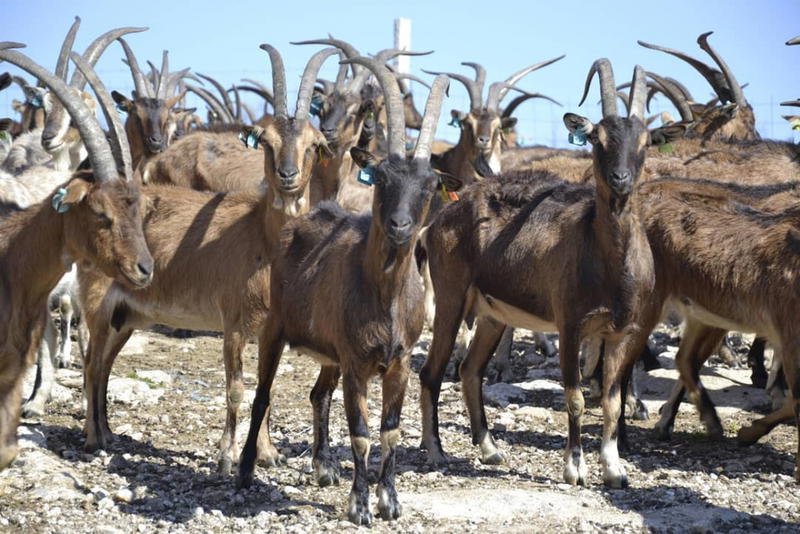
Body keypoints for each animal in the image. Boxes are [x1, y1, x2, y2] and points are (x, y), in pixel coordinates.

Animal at [78, 45, 335, 473]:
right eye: (266, 141)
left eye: (314, 143)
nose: (288, 176)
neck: (261, 238)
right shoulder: (233, 324)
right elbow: (236, 389)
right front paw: (227, 457)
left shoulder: (271, 330)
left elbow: (266, 388)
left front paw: (268, 454)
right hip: (97, 304)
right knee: (92, 364)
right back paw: (94, 438)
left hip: (127, 317)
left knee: (106, 362)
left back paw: (109, 432)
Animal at [237, 55, 448, 525]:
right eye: (381, 177)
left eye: (428, 186)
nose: (400, 226)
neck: (383, 295)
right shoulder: (355, 363)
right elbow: (362, 433)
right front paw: (360, 505)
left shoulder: (398, 362)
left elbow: (390, 432)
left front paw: (390, 501)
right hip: (276, 330)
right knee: (262, 396)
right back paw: (243, 471)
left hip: (329, 352)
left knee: (318, 394)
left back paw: (323, 467)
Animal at [420, 60, 655, 489]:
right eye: (596, 138)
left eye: (645, 141)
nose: (620, 179)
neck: (609, 264)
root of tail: (445, 216)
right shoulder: (571, 323)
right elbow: (575, 398)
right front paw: (574, 468)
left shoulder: (622, 332)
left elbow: (612, 402)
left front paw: (614, 470)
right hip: (450, 297)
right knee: (432, 372)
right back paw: (436, 450)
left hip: (492, 314)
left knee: (469, 369)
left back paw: (490, 449)